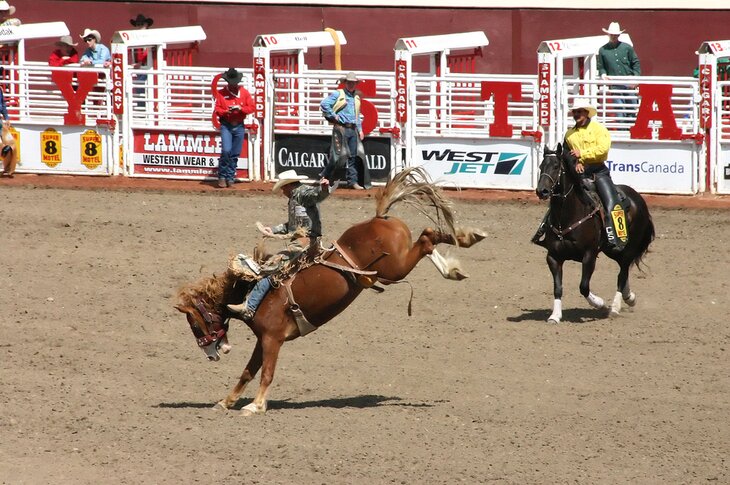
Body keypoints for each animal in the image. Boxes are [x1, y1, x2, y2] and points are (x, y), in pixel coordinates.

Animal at [173, 167, 486, 416]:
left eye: (195, 325)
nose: (212, 355)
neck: (251, 289)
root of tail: (380, 218)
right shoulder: (263, 340)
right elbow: (248, 372)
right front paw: (226, 402)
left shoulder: (273, 339)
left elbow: (266, 373)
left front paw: (255, 406)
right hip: (394, 267)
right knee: (431, 237)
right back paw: (465, 245)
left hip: (395, 267)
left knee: (427, 239)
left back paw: (461, 249)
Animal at [536, 146, 656, 324]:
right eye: (541, 166)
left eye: (556, 166)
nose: (541, 191)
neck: (568, 216)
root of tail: (638, 198)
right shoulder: (553, 257)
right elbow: (558, 288)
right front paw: (555, 316)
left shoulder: (589, 255)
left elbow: (584, 286)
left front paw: (600, 303)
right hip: (612, 249)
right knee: (624, 272)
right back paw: (629, 297)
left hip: (627, 248)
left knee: (622, 274)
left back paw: (614, 308)